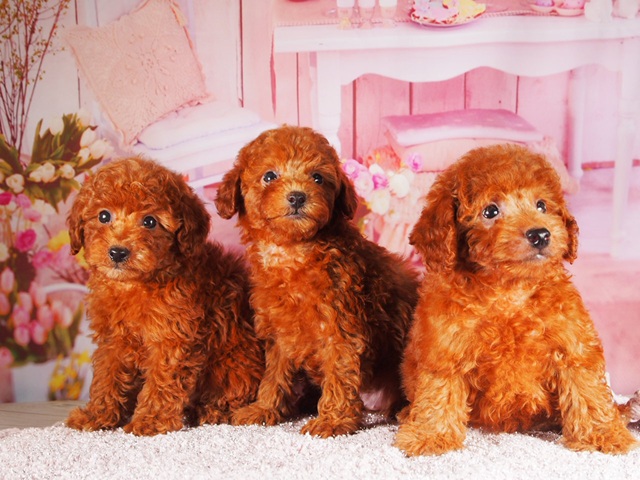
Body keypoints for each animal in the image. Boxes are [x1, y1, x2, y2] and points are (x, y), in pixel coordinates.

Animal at [65, 157, 264, 436]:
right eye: (104, 215)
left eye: (150, 221)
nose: (118, 252)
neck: (135, 284)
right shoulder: (114, 340)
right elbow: (107, 377)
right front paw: (98, 414)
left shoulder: (172, 338)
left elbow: (162, 381)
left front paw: (150, 420)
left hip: (237, 364)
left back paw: (212, 410)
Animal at [215, 125, 420, 438]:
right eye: (269, 176)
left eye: (317, 178)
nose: (298, 197)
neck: (293, 252)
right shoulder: (279, 333)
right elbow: (274, 374)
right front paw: (264, 408)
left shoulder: (341, 327)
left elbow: (339, 374)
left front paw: (333, 419)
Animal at [395, 144, 639, 455]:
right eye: (490, 211)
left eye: (541, 205)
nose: (540, 234)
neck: (509, 290)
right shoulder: (446, 347)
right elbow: (439, 390)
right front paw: (431, 435)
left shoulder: (573, 341)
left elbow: (587, 389)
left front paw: (602, 434)